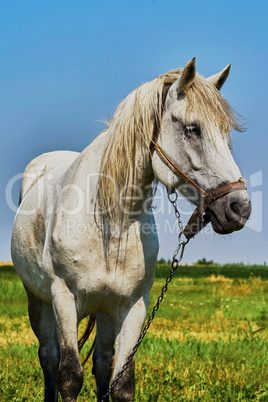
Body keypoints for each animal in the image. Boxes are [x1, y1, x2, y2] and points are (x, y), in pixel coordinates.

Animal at [11, 58, 251, 400]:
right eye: (192, 129)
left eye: (225, 132)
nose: (239, 208)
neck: (111, 224)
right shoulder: (64, 299)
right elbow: (69, 376)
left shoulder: (133, 306)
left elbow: (121, 381)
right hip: (38, 301)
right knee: (49, 359)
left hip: (104, 311)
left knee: (101, 363)